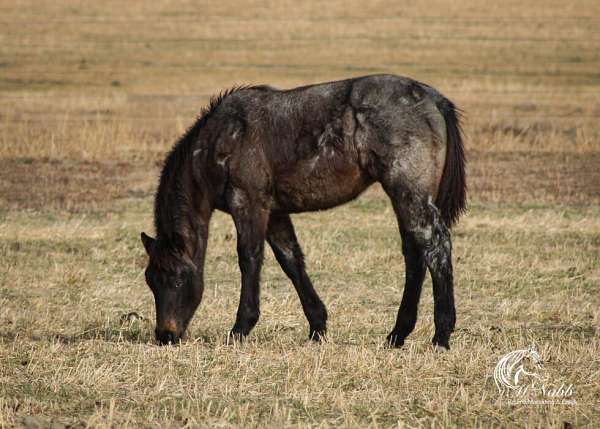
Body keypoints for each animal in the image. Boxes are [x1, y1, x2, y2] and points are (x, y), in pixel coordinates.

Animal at [139, 73, 464, 348]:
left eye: (177, 278)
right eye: (151, 281)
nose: (165, 335)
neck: (221, 140)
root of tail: (433, 98)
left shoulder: (248, 205)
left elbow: (249, 258)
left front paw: (240, 328)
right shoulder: (274, 213)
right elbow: (291, 260)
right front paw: (317, 326)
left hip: (409, 194)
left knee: (436, 246)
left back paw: (441, 335)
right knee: (414, 254)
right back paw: (397, 335)